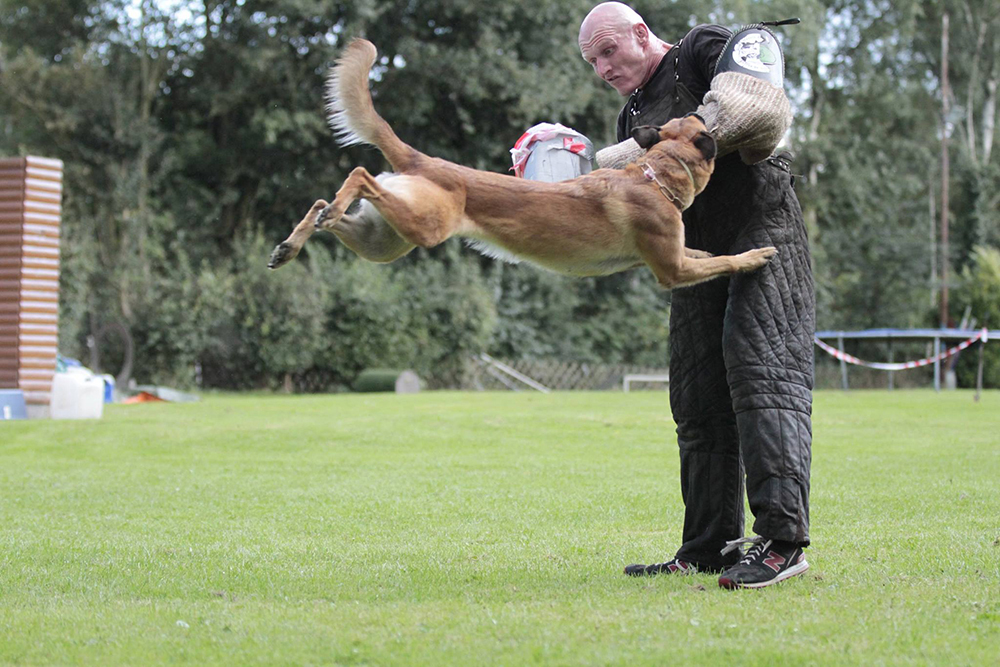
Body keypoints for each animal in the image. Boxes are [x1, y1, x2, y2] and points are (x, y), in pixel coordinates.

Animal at [270, 39, 776, 288]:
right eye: (699, 121)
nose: (708, 113)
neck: (654, 176)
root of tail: (423, 160)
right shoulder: (672, 272)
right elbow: (723, 261)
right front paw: (754, 257)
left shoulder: (673, 256)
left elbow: (705, 254)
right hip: (423, 224)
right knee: (357, 175)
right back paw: (325, 213)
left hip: (383, 240)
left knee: (324, 206)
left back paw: (293, 242)